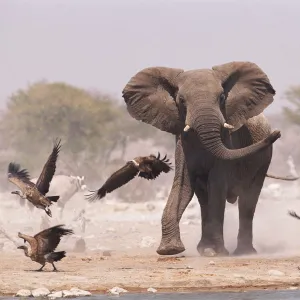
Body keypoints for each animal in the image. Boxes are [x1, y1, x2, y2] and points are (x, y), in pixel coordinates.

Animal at [120, 61, 284, 258]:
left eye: (222, 97)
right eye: (181, 100)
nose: (278, 133)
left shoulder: (227, 140)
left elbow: (217, 184)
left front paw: (217, 253)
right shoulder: (181, 141)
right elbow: (183, 184)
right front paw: (170, 250)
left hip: (264, 160)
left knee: (248, 199)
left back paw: (244, 252)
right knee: (204, 197)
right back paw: (205, 248)